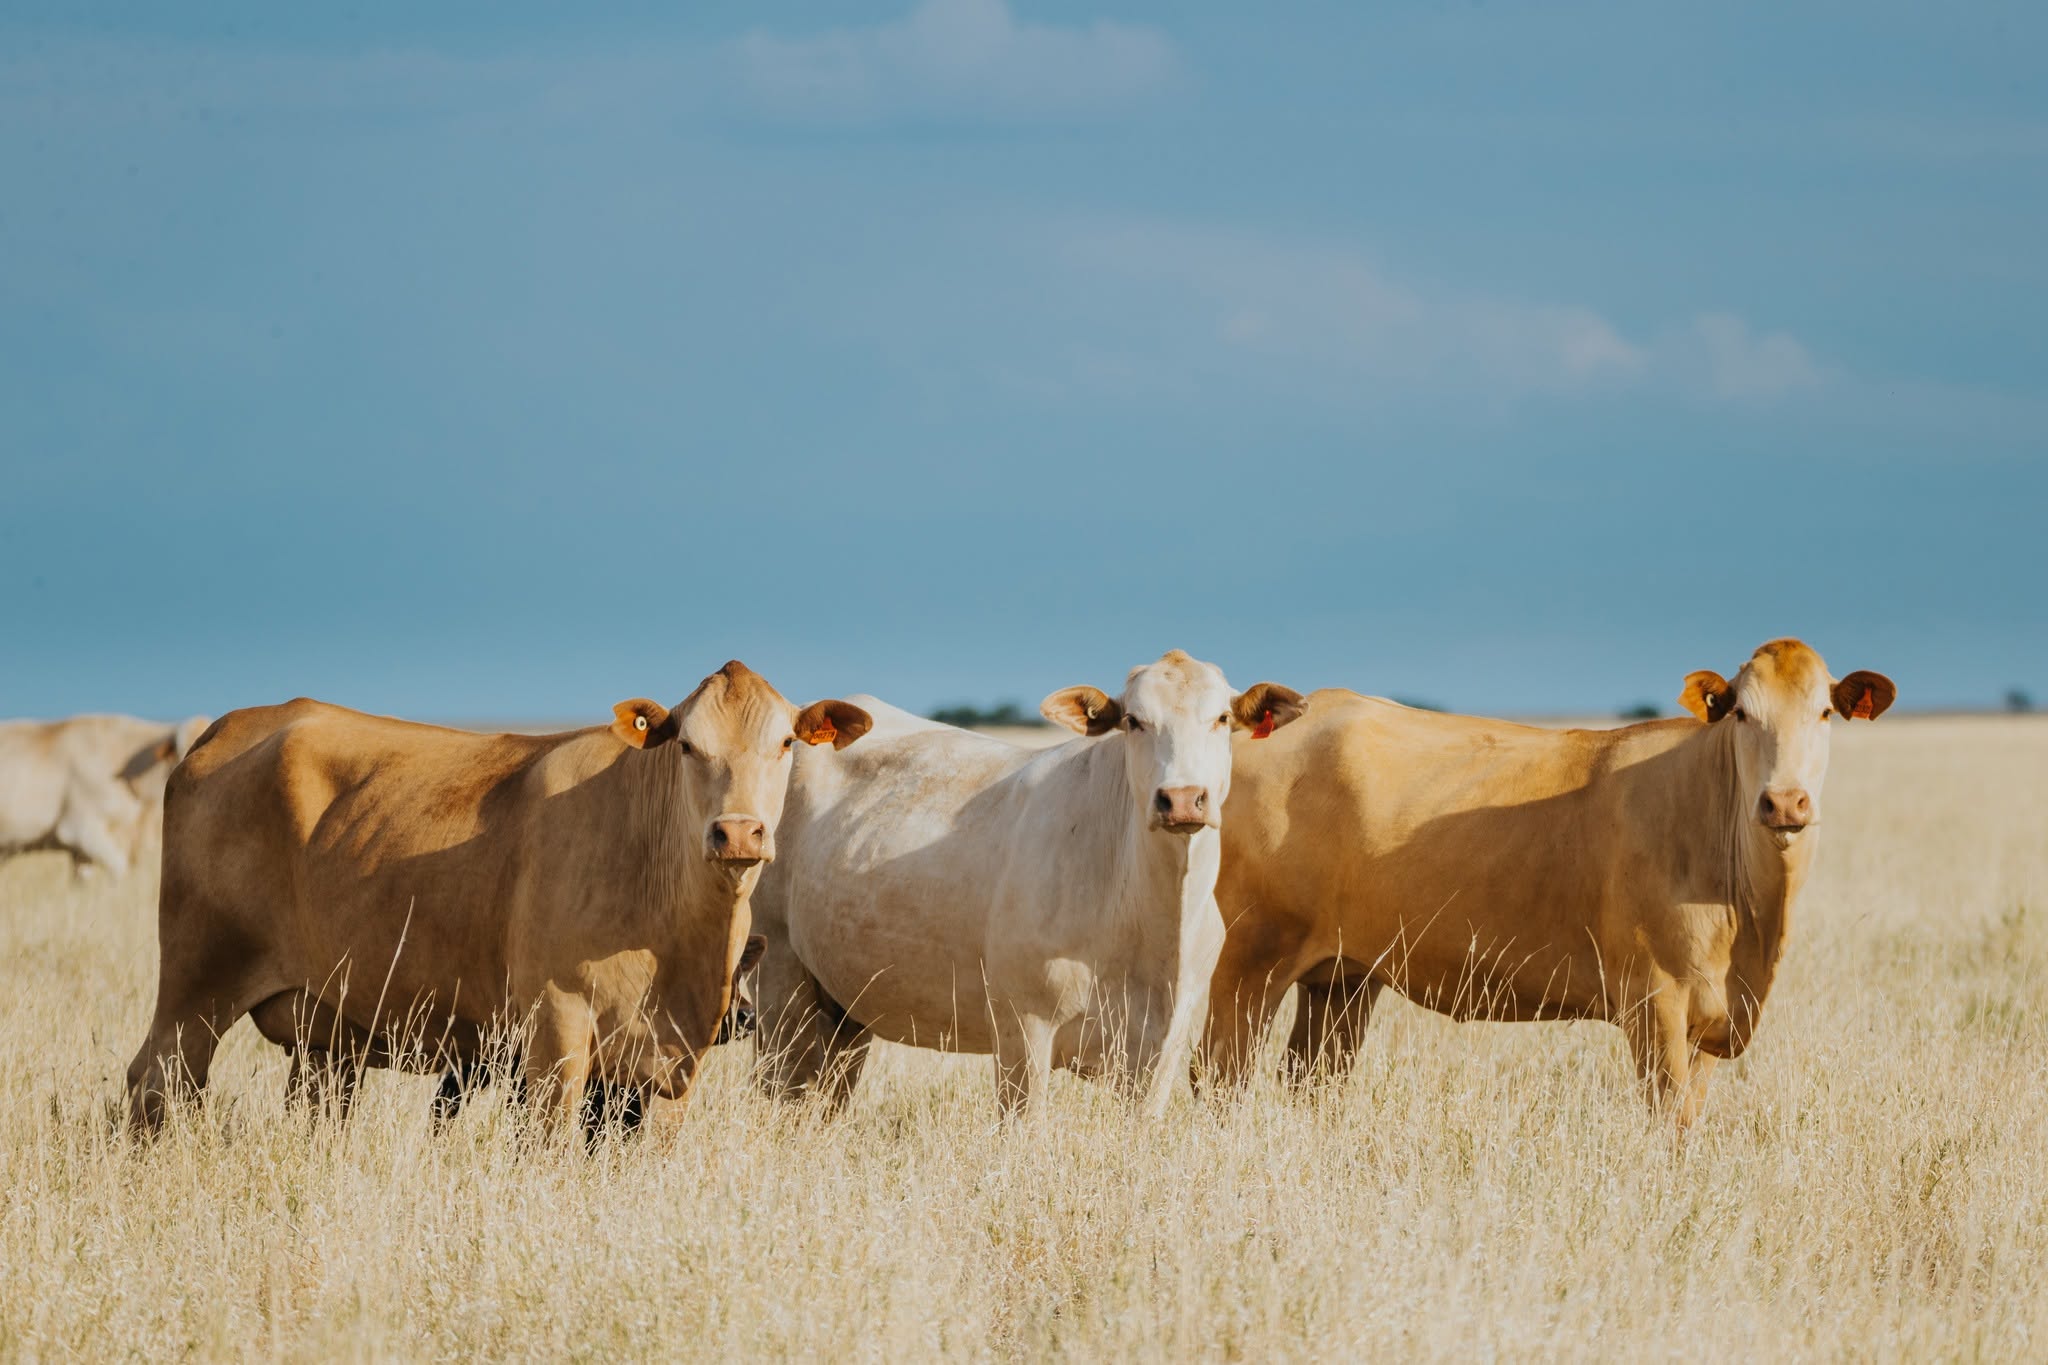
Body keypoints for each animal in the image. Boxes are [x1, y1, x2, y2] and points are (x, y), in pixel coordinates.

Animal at [123, 662, 872, 1137]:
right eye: (687, 744)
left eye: (785, 743)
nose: (737, 831)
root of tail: (227, 729)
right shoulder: (554, 1030)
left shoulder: (672, 1063)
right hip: (196, 986)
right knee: (156, 1083)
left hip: (326, 1039)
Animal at [752, 650, 1305, 1119]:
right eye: (1134, 721)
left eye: (1222, 719)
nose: (1183, 798)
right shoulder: (1024, 1033)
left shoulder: (1160, 1055)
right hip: (778, 980)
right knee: (780, 1085)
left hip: (843, 1005)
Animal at [1201, 638, 1895, 1127]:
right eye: (1743, 715)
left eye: (1825, 712)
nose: (1785, 802)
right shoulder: (1656, 999)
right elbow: (1667, 1120)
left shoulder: (1709, 1014)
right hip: (1251, 955)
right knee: (1218, 1076)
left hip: (1344, 977)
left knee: (1312, 1082)